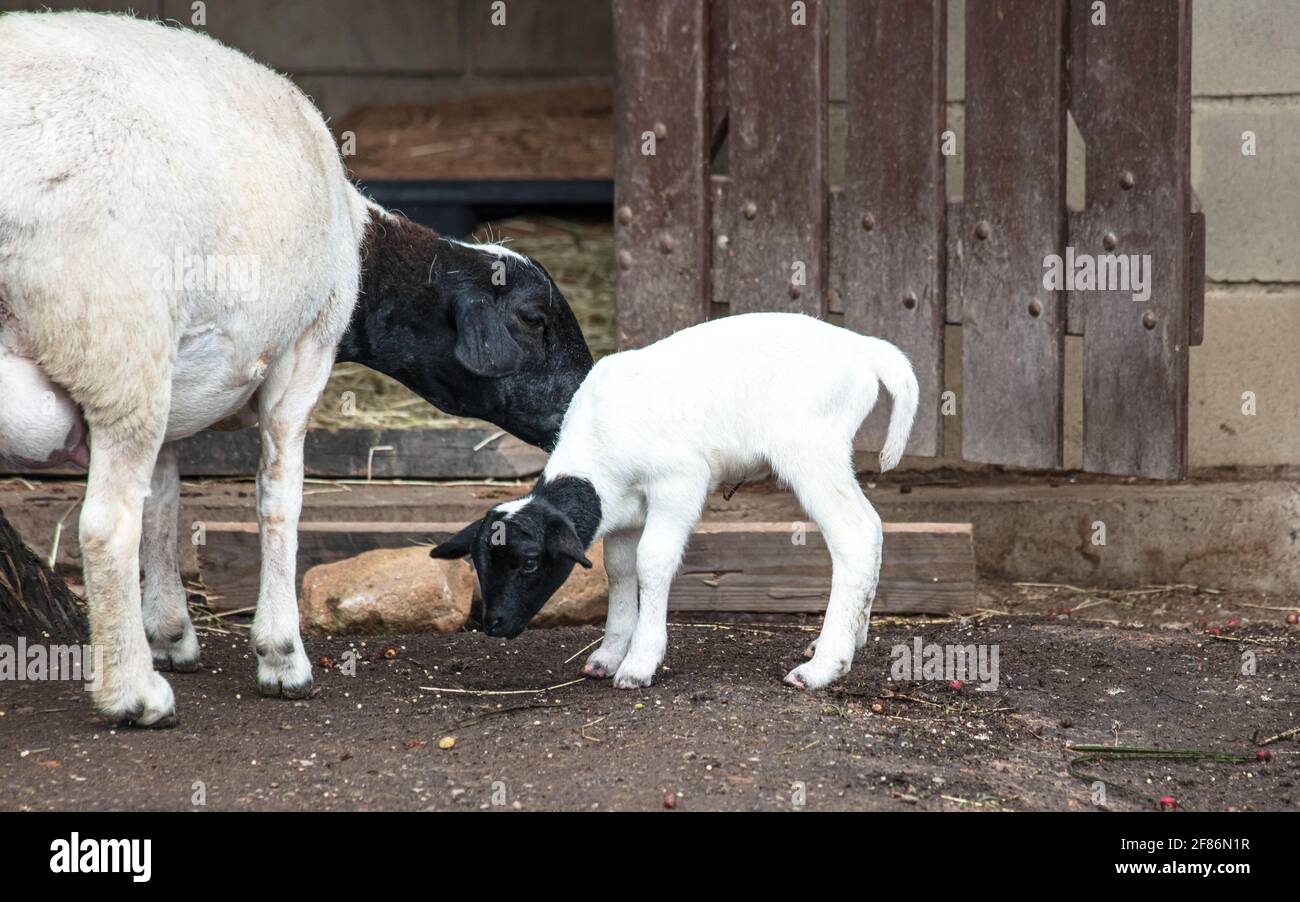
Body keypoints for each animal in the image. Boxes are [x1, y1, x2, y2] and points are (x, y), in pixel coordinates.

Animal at [0, 12, 592, 726]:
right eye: (533, 320)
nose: (592, 397)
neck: (361, 255)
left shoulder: (177, 379)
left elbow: (164, 502)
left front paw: (171, 633)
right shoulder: (300, 357)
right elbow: (279, 500)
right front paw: (282, 656)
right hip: (117, 343)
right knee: (104, 526)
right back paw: (136, 696)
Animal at [432, 312, 920, 690]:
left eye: (530, 563)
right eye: (478, 562)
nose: (492, 625)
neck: (597, 450)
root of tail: (861, 348)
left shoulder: (679, 483)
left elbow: (652, 562)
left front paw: (639, 662)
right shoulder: (624, 511)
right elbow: (620, 569)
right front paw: (609, 653)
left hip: (811, 448)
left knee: (855, 533)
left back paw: (824, 665)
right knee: (874, 527)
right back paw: (853, 636)